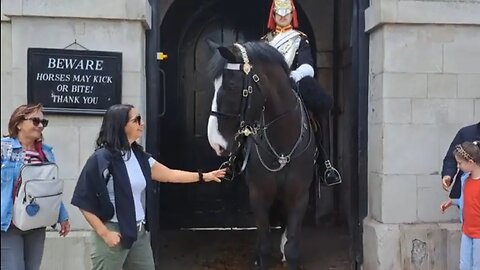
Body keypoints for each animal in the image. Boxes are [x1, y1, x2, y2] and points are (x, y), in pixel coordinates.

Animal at [207, 41, 316, 268]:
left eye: (231, 85)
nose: (215, 143)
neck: (282, 143)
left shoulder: (299, 195)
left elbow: (292, 248)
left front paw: (287, 251)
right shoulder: (258, 195)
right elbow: (264, 246)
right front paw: (261, 258)